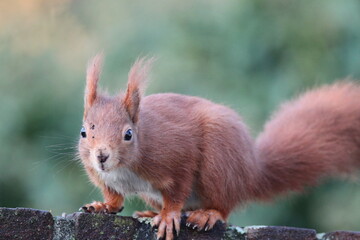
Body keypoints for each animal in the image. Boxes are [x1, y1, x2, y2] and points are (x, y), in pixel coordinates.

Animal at [78, 54, 360, 240]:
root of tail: (251, 171)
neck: (124, 168)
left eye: (128, 134)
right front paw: (103, 206)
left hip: (219, 163)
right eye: (84, 132)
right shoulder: (103, 176)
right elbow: (114, 198)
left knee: (223, 206)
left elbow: (177, 190)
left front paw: (169, 216)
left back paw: (207, 214)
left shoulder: (176, 157)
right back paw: (151, 211)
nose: (101, 156)